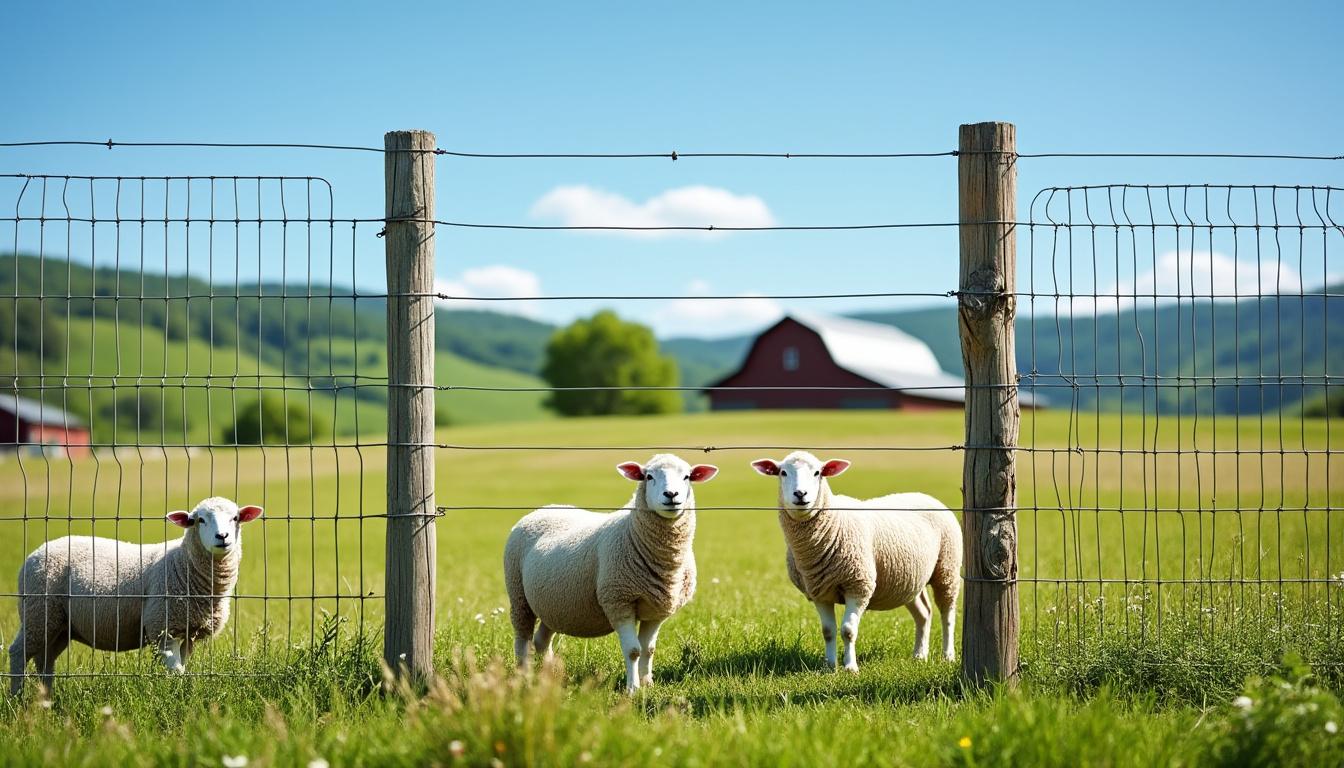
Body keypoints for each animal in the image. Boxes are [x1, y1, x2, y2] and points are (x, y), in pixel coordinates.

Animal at [8, 497, 263, 695]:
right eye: (199, 520)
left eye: (235, 518)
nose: (223, 536)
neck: (182, 563)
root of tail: (37, 552)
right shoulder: (162, 627)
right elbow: (176, 671)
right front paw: (178, 695)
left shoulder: (188, 631)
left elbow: (182, 666)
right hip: (37, 610)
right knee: (18, 653)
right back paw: (17, 700)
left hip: (58, 624)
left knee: (45, 661)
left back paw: (46, 701)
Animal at [503, 454, 718, 693]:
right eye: (649, 476)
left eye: (687, 476)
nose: (671, 495)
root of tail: (544, 508)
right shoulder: (618, 600)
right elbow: (633, 650)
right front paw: (633, 689)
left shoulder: (656, 610)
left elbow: (648, 649)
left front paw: (647, 684)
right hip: (518, 594)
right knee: (522, 638)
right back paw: (524, 676)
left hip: (553, 603)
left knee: (541, 639)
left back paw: (553, 675)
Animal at [751, 451, 961, 671]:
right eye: (782, 472)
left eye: (818, 473)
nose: (800, 494)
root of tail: (924, 495)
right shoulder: (819, 592)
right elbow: (828, 631)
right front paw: (829, 667)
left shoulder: (859, 586)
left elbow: (848, 630)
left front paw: (851, 667)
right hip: (910, 579)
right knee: (924, 613)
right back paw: (919, 655)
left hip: (947, 567)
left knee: (947, 613)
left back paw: (948, 655)